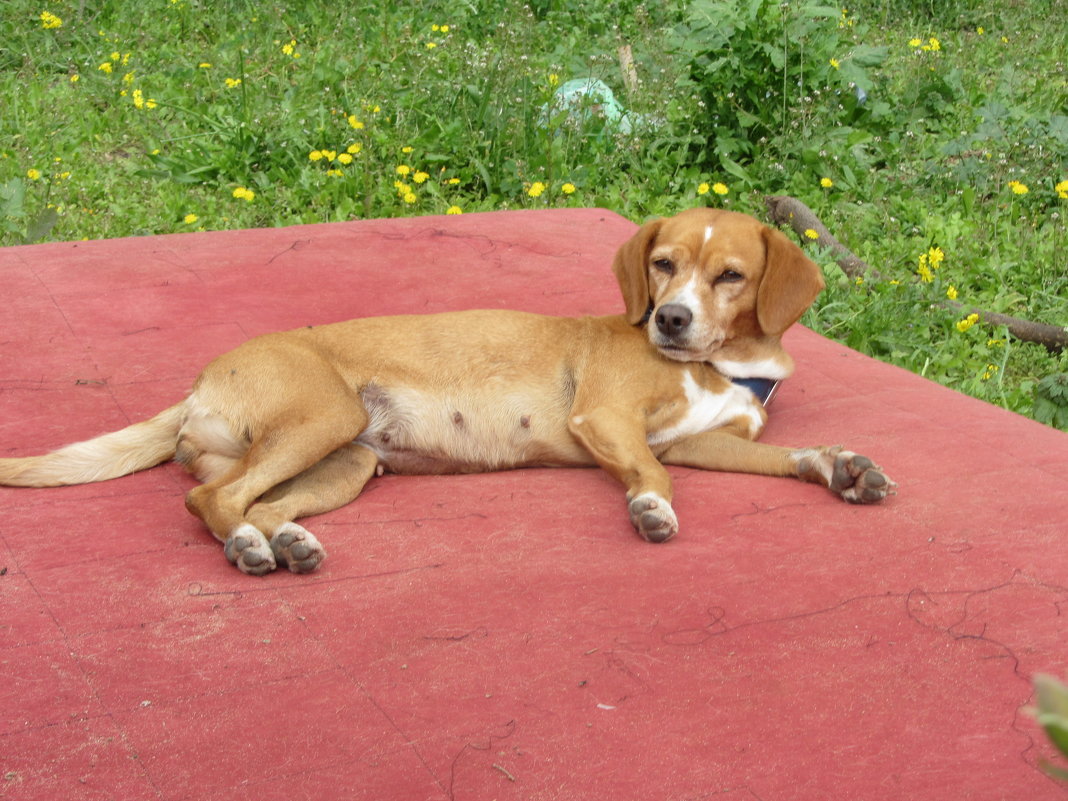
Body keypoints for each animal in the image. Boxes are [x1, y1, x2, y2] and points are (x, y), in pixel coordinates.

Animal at [0, 210, 892, 576]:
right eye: (664, 263)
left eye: (731, 275)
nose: (670, 319)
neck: (720, 364)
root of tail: (196, 384)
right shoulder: (609, 418)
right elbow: (653, 473)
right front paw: (650, 509)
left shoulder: (708, 439)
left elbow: (790, 455)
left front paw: (842, 466)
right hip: (327, 415)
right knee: (211, 501)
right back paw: (251, 549)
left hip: (346, 462)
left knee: (254, 501)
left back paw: (280, 542)